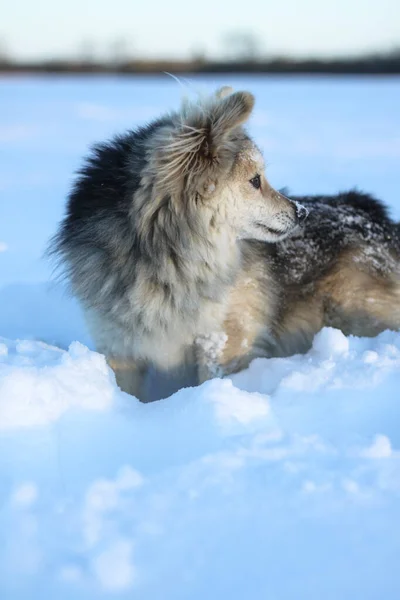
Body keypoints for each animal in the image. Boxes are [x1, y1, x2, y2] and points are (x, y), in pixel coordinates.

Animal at [49, 85, 400, 404]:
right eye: (255, 180)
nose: (301, 212)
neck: (164, 254)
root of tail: (375, 215)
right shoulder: (119, 345)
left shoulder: (224, 337)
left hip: (354, 311)